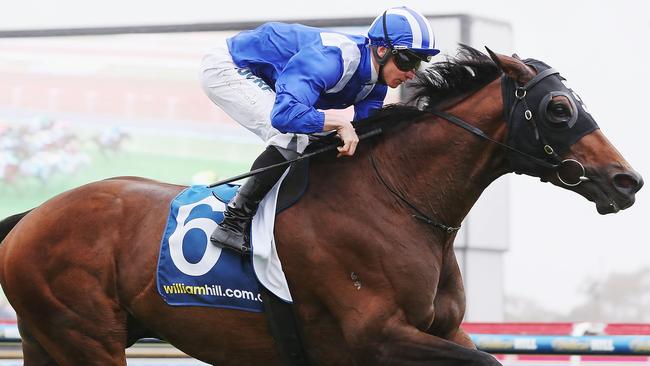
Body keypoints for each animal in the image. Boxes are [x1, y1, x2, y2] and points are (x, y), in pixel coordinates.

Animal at [0, 46, 640, 366]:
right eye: (558, 108)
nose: (626, 180)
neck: (394, 200)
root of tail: (30, 218)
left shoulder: (444, 332)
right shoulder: (376, 336)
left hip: (45, 340)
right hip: (85, 337)